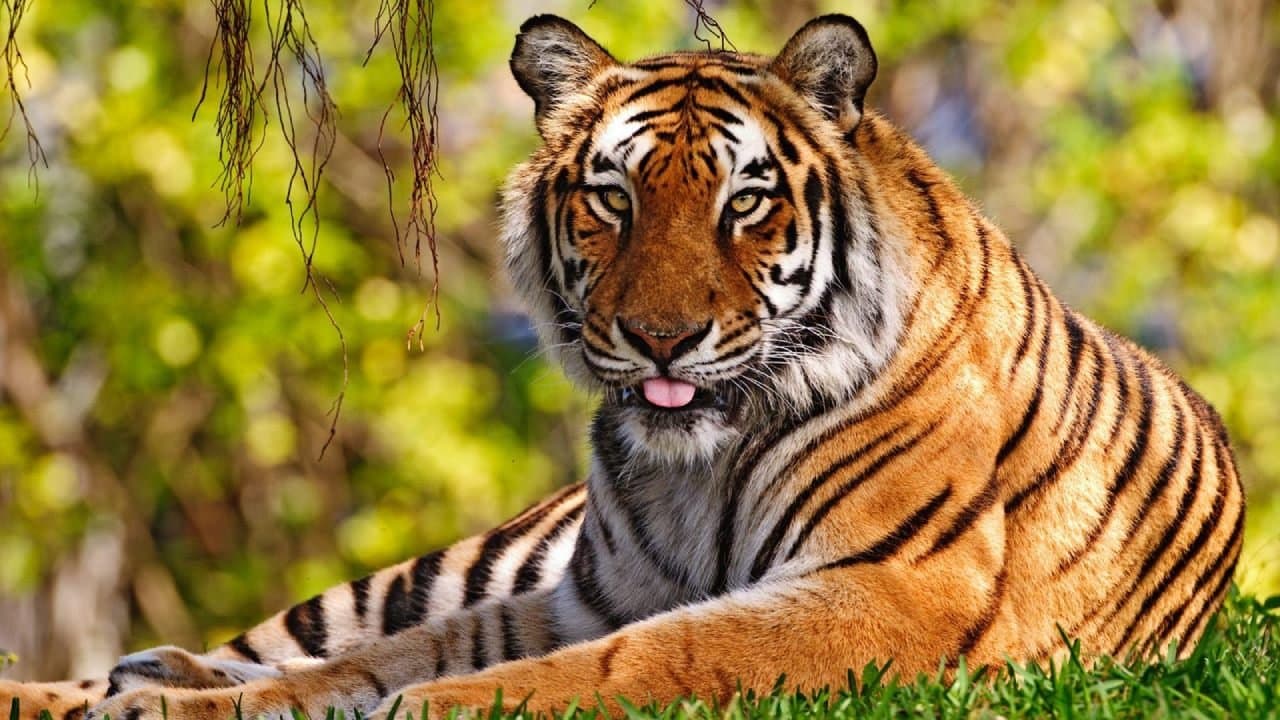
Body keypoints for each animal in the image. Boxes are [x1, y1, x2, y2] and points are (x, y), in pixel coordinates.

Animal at [1, 13, 1244, 720]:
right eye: (612, 197)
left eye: (743, 202)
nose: (659, 337)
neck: (696, 462)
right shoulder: (583, 591)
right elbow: (370, 662)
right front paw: (178, 710)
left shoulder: (888, 590)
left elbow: (634, 662)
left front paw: (433, 709)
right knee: (248, 649)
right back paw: (118, 683)